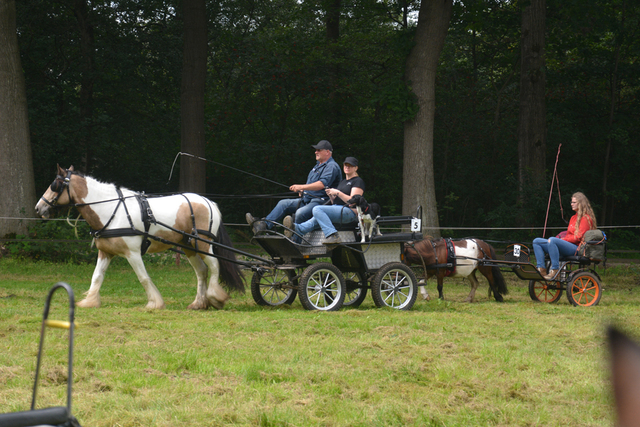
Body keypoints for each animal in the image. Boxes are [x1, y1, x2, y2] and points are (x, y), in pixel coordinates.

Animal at [35, 166, 245, 310]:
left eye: (54, 185)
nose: (39, 208)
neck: (110, 210)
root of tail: (208, 202)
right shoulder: (105, 253)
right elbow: (97, 277)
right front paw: (89, 301)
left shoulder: (133, 253)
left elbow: (143, 277)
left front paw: (155, 303)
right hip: (188, 246)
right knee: (201, 271)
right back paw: (199, 303)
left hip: (202, 243)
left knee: (214, 265)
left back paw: (215, 297)